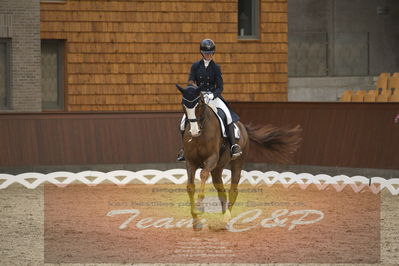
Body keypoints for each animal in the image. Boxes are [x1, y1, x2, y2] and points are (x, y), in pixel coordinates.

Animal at [177, 84, 302, 230]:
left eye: (200, 104)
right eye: (183, 105)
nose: (194, 131)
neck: (200, 135)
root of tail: (243, 127)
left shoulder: (211, 159)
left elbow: (203, 174)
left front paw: (200, 207)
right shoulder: (190, 162)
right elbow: (190, 187)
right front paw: (196, 221)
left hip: (236, 163)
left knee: (233, 190)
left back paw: (226, 218)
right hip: (217, 169)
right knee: (222, 191)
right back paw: (223, 219)